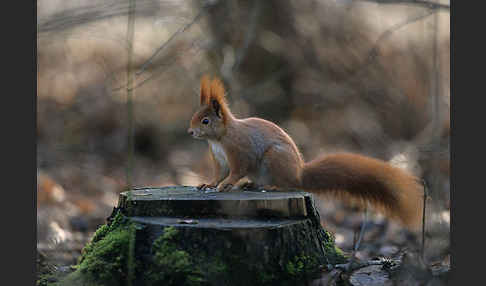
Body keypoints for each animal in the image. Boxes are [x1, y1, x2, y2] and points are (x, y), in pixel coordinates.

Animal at [188, 75, 424, 228]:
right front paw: (208, 184)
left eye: (205, 120)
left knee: (288, 184)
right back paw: (251, 185)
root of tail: (299, 173)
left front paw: (225, 185)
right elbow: (219, 173)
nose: (190, 132)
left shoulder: (239, 151)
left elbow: (237, 171)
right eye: (195, 116)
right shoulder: (220, 159)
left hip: (275, 158)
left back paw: (272, 186)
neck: (219, 139)